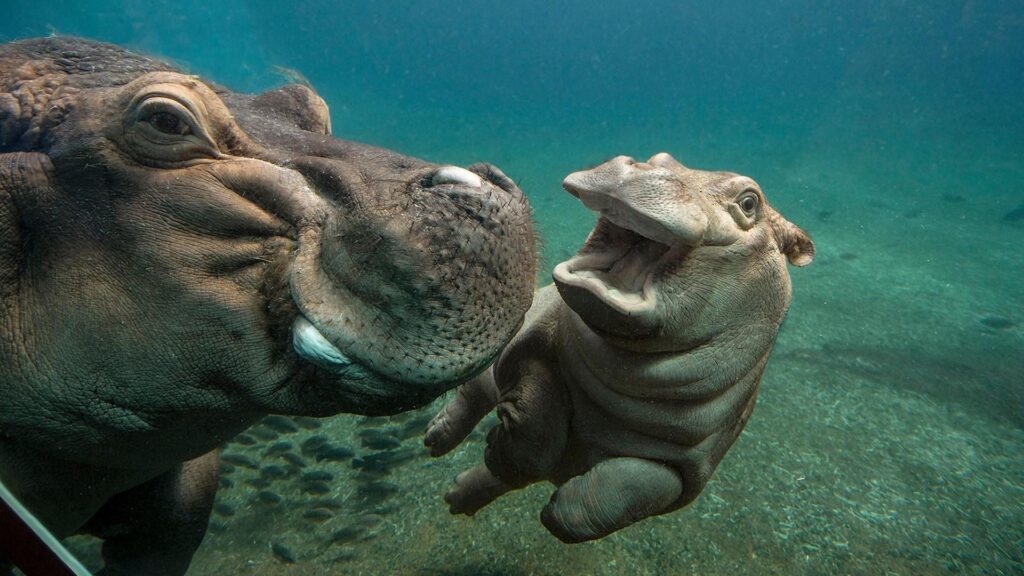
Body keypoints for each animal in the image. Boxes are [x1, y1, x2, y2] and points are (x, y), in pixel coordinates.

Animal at [419, 150, 811, 541]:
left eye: (749, 202)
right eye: (660, 156)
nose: (643, 166)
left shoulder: (689, 468)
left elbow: (631, 489)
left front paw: (554, 510)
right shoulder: (533, 350)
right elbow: (535, 428)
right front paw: (498, 444)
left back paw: (457, 496)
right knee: (475, 391)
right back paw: (435, 439)